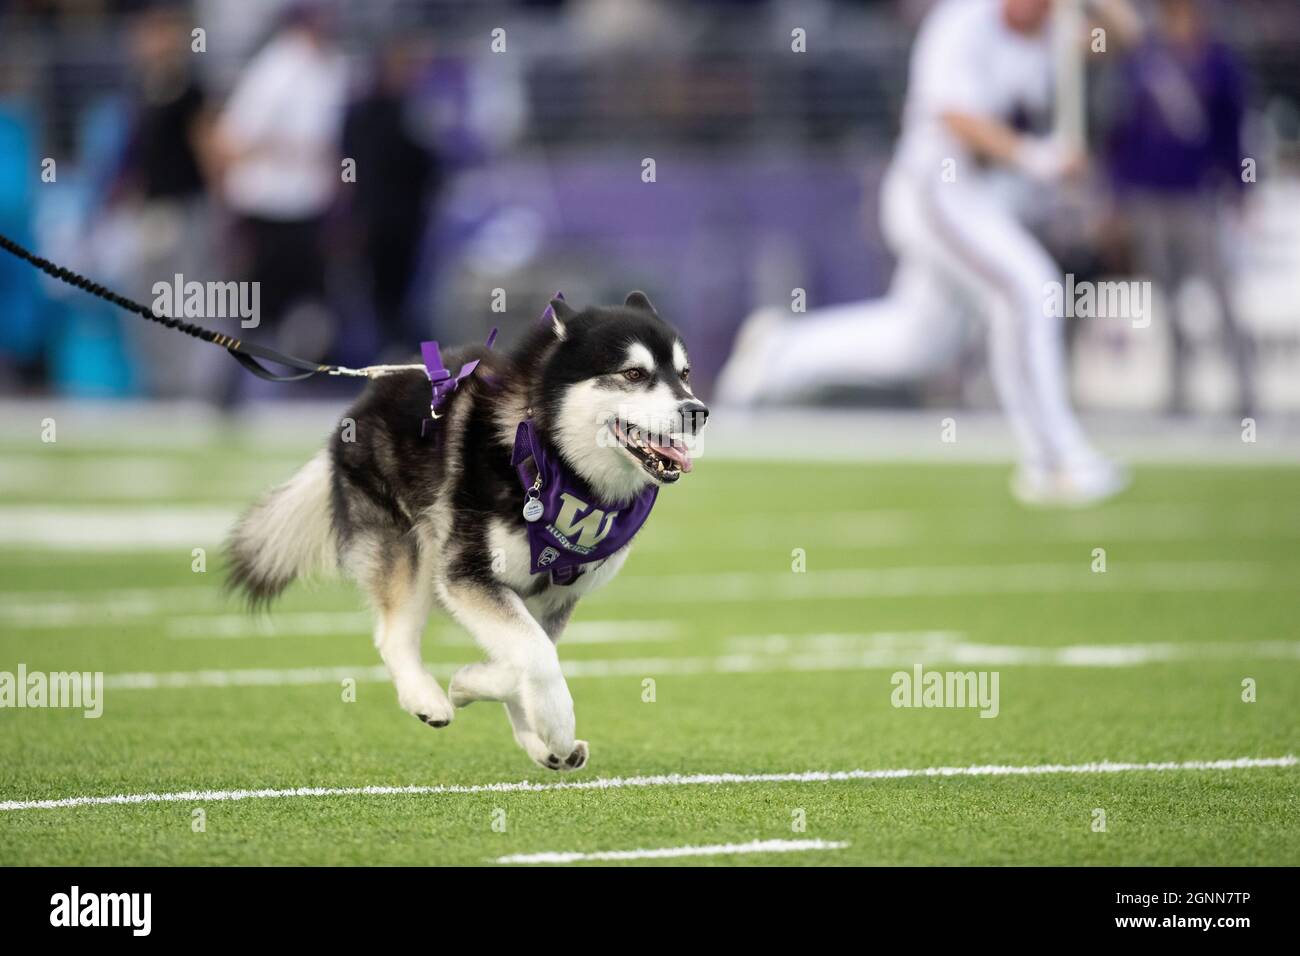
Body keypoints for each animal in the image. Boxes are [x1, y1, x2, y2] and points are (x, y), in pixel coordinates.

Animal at [226, 291, 712, 770]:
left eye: (685, 374)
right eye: (633, 373)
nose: (698, 412)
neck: (548, 453)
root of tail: (367, 394)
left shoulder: (556, 594)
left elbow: (529, 652)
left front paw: (485, 692)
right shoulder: (465, 572)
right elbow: (537, 655)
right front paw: (551, 723)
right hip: (413, 546)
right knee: (393, 633)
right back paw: (426, 698)